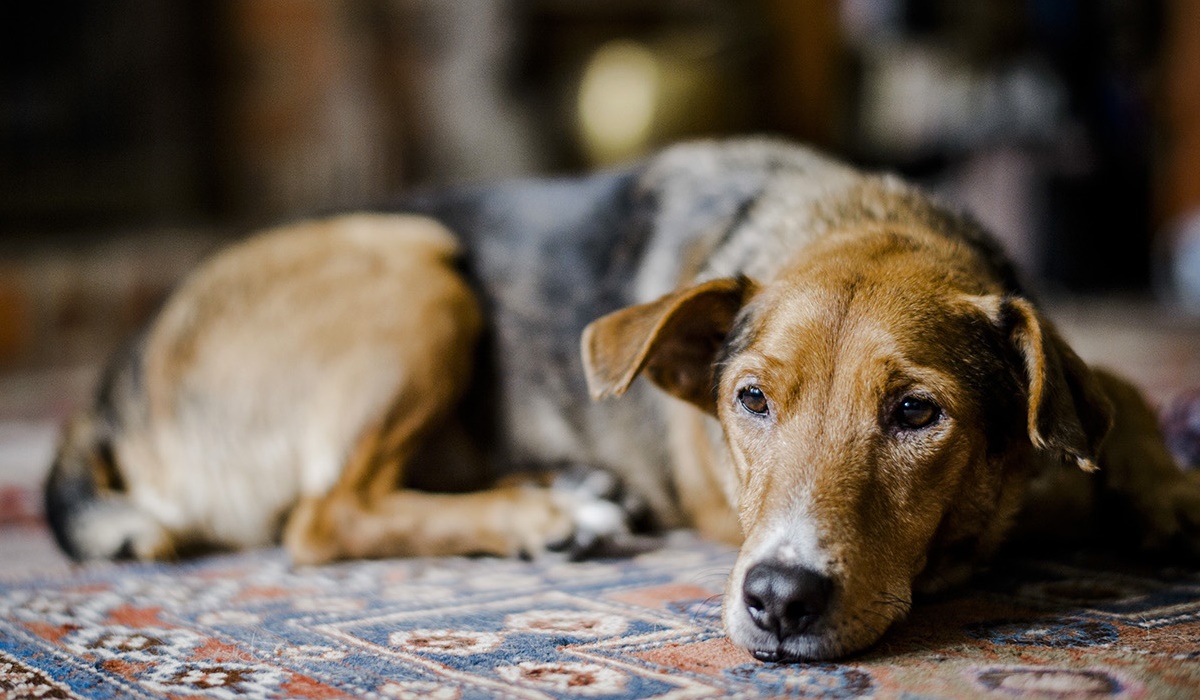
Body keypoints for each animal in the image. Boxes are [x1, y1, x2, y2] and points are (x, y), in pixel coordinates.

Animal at [44, 138, 1200, 662]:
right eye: (749, 400)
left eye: (918, 414)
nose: (778, 601)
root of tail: (107, 386)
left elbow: (1117, 390)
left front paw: (1161, 490)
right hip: (414, 261)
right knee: (324, 514)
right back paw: (550, 513)